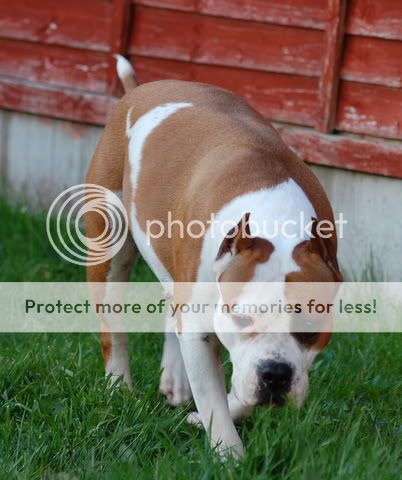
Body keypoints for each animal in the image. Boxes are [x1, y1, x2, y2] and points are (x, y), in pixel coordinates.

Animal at [85, 55, 342, 457]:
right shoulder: (199, 328)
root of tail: (138, 90)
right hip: (108, 255)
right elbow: (213, 399)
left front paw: (202, 416)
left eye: (310, 327)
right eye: (242, 319)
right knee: (113, 329)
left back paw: (174, 379)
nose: (276, 374)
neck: (276, 222)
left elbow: (232, 391)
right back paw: (118, 388)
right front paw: (230, 456)